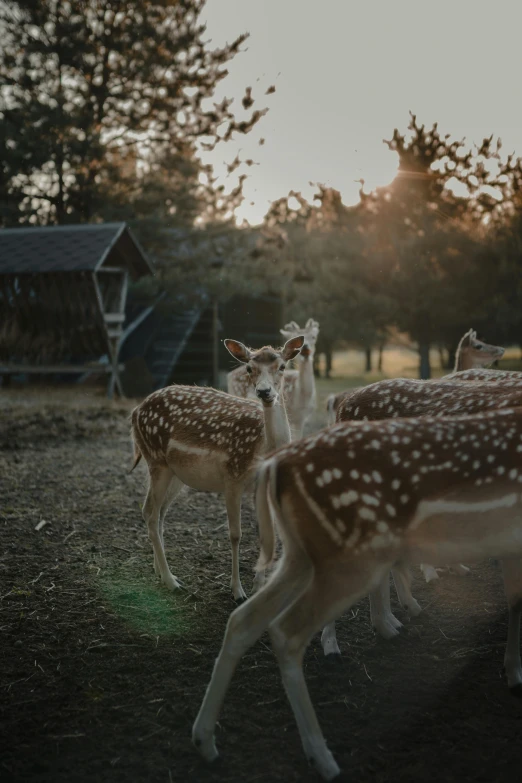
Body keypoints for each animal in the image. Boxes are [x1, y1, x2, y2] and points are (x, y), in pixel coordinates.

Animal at [127, 336, 302, 600]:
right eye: (249, 368)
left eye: (282, 366)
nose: (264, 392)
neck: (262, 447)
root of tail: (136, 411)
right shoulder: (232, 477)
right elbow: (235, 534)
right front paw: (237, 590)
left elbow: (266, 533)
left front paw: (258, 587)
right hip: (156, 460)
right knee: (149, 511)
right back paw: (171, 580)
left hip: (175, 473)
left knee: (159, 513)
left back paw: (160, 571)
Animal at [192, 408, 522, 780]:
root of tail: (273, 466)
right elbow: (516, 599)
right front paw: (514, 674)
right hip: (351, 556)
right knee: (285, 631)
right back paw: (324, 759)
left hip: (301, 554)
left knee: (243, 619)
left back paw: (205, 741)